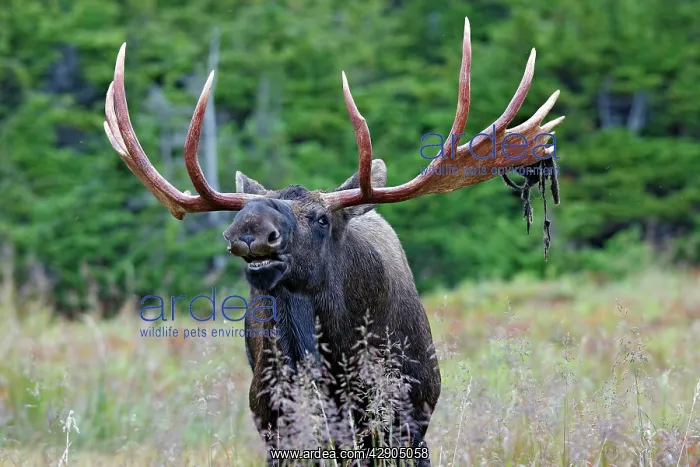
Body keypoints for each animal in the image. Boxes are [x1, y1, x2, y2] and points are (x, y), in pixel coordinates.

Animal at [103, 17, 564, 466]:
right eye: (248, 211)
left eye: (322, 219)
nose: (250, 229)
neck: (341, 358)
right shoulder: (275, 416)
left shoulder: (413, 411)